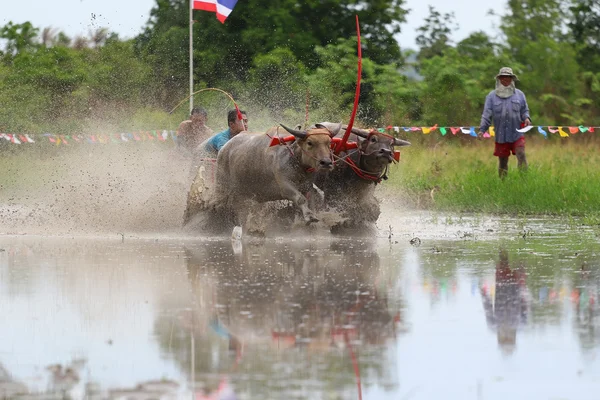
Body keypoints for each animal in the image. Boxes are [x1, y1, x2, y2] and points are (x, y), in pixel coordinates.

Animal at [210, 122, 342, 228]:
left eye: (329, 143)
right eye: (310, 143)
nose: (326, 163)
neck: (295, 161)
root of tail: (224, 149)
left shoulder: (307, 185)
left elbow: (312, 201)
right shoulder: (285, 187)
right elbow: (301, 199)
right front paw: (309, 216)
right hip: (222, 189)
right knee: (220, 206)